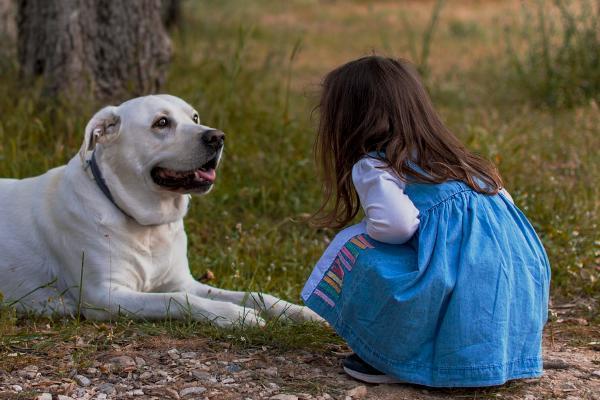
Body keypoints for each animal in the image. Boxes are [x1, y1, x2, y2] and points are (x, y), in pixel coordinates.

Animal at [0, 95, 318, 326]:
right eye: (161, 122)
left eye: (195, 117)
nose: (217, 136)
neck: (148, 225)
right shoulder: (104, 296)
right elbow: (175, 300)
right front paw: (234, 315)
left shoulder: (183, 282)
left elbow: (255, 294)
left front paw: (300, 311)